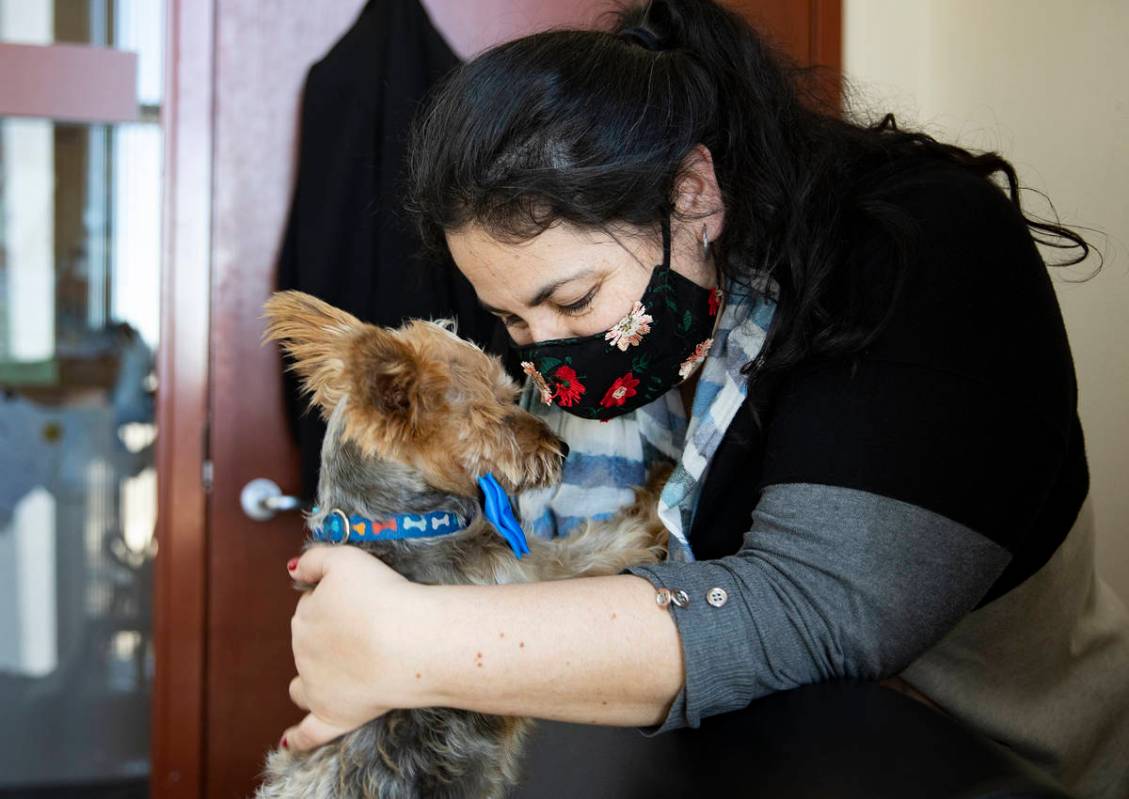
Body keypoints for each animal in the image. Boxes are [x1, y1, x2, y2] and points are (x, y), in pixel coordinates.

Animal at [256, 291, 668, 799]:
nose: (564, 449)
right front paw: (659, 493)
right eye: (497, 413)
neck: (410, 523)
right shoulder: (526, 574)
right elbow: (601, 544)